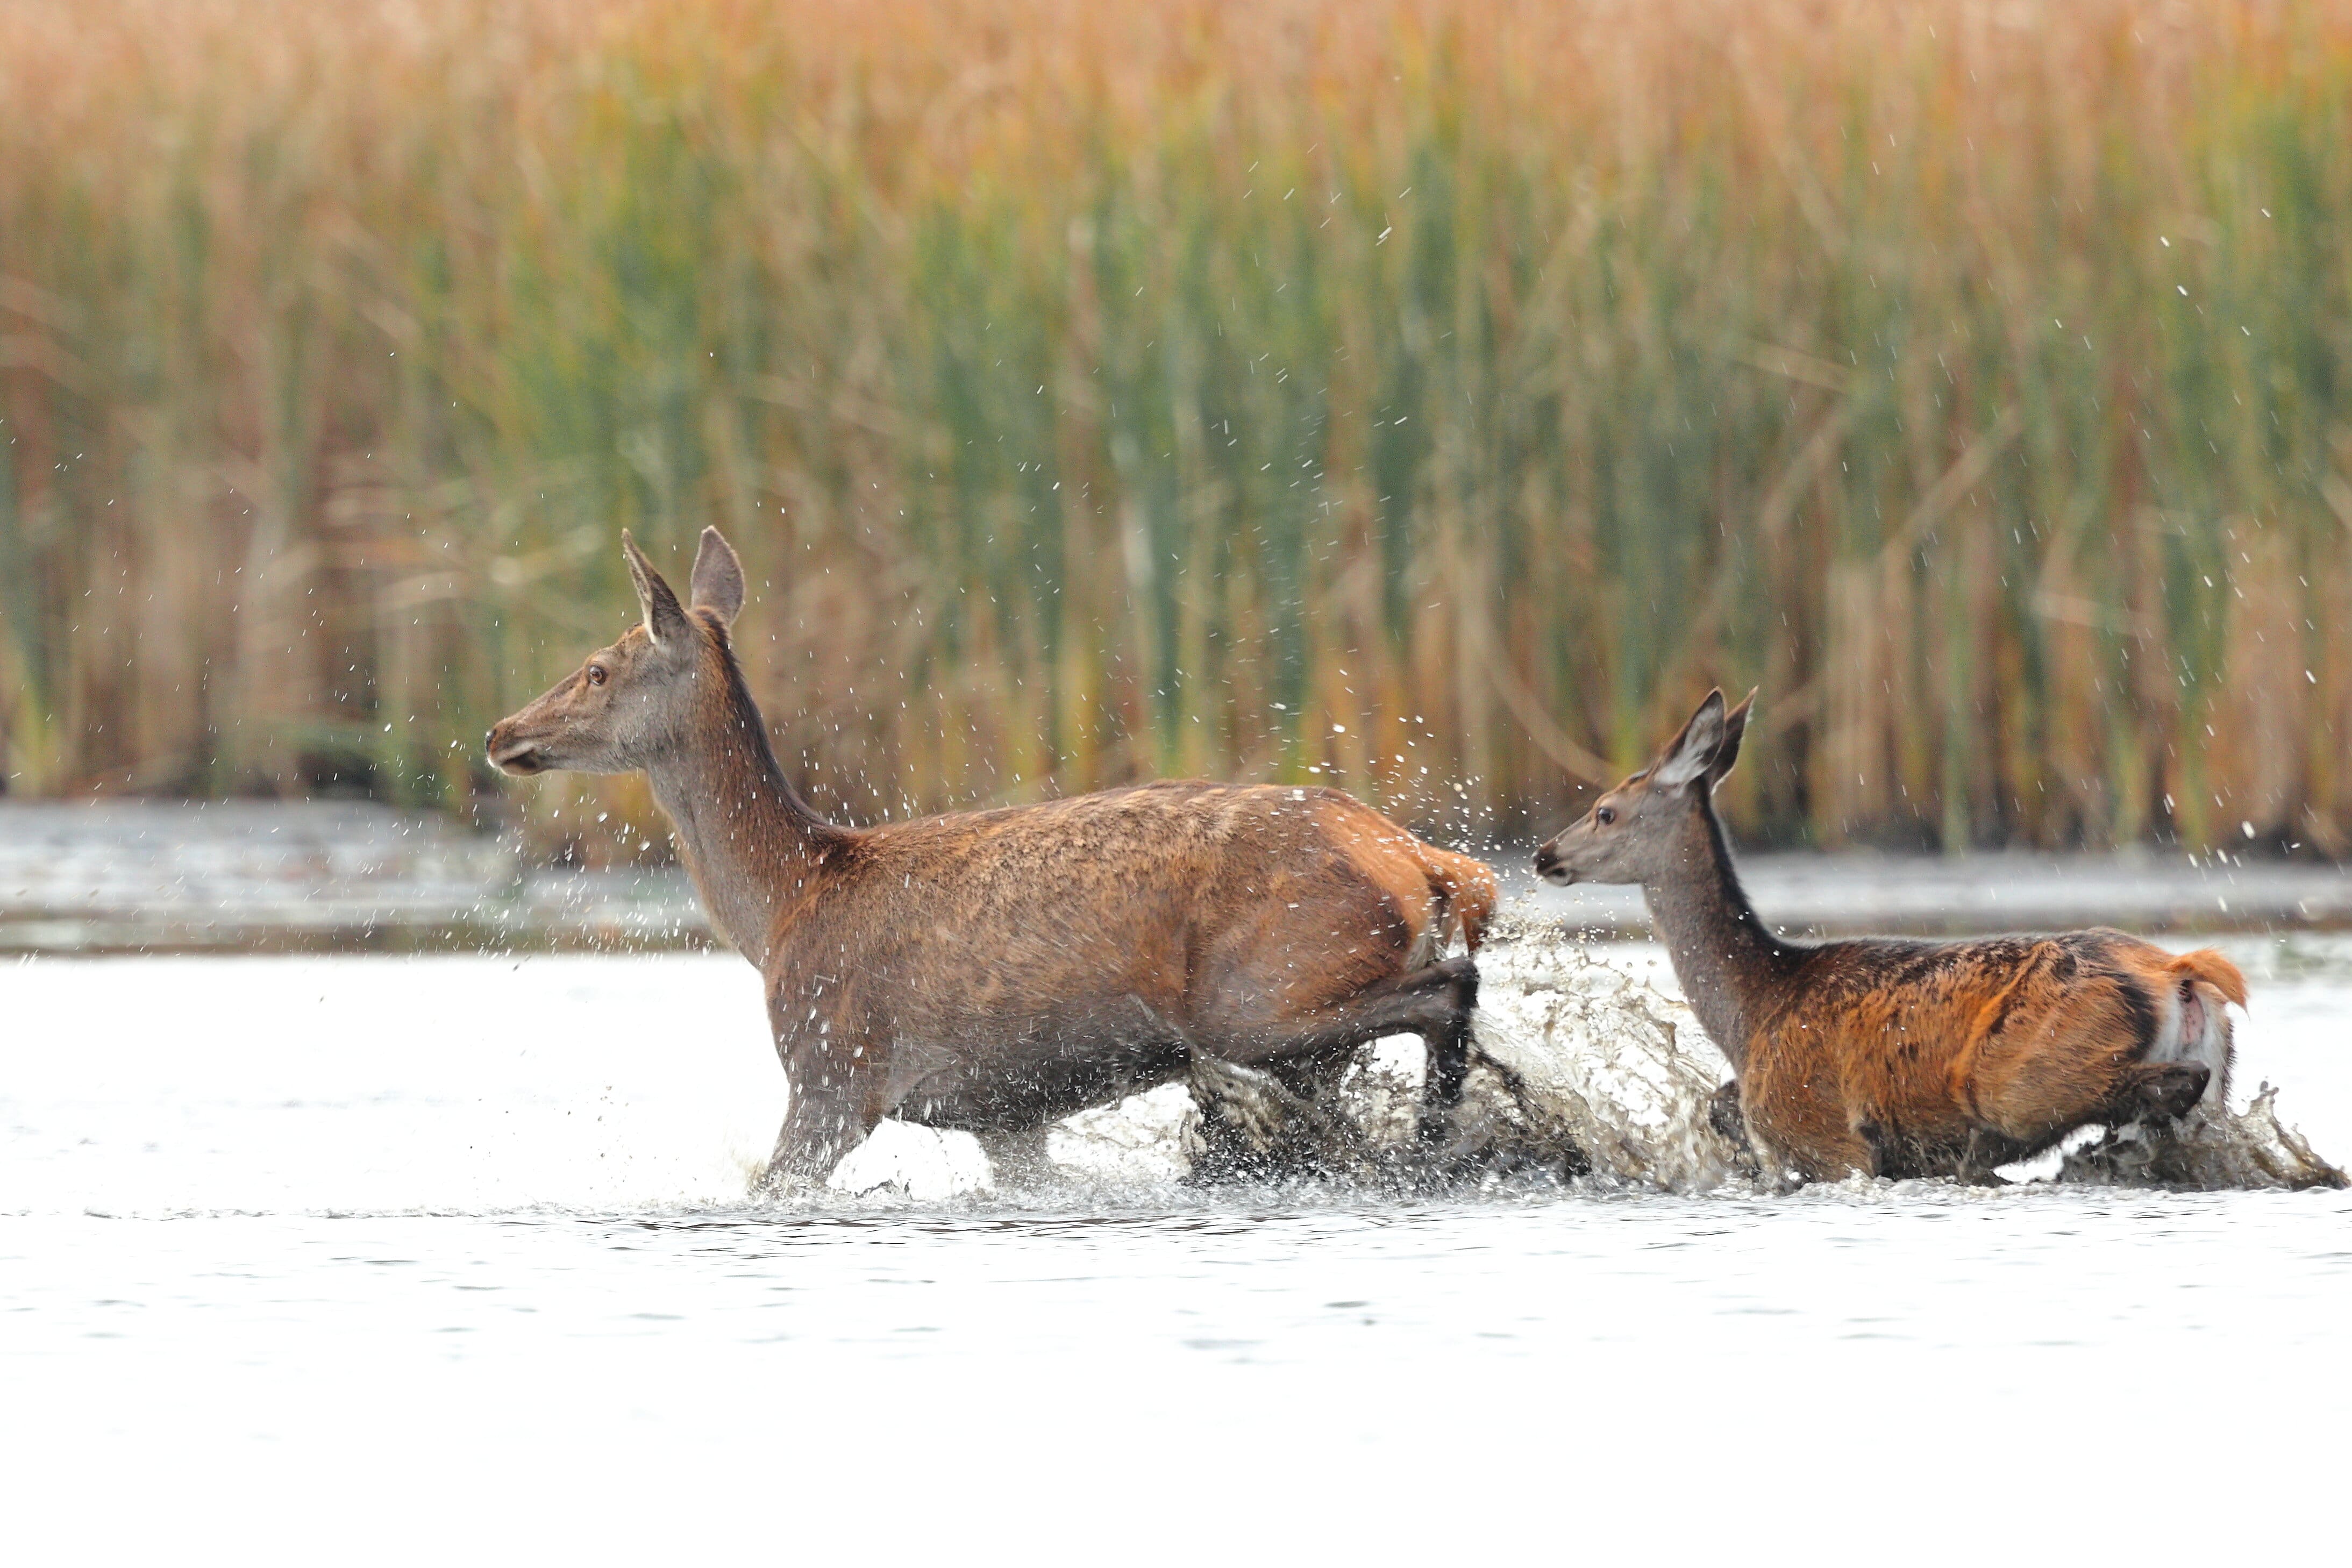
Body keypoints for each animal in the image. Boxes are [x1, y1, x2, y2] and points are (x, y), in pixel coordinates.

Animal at [487, 533, 1495, 1194]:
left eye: (597, 668)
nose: (501, 732)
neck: (782, 905)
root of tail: (1422, 860)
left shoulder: (832, 1071)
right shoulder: (1006, 1114)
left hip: (1260, 995)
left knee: (1449, 989)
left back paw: (1436, 1144)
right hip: (1297, 1032)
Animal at [1533, 691, 2248, 1185]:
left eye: (1605, 811)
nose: (1545, 856)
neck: (1753, 1012)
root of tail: (2182, 974)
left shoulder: (1820, 1132)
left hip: (2027, 1076)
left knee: (2144, 1087)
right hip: (2215, 1074)